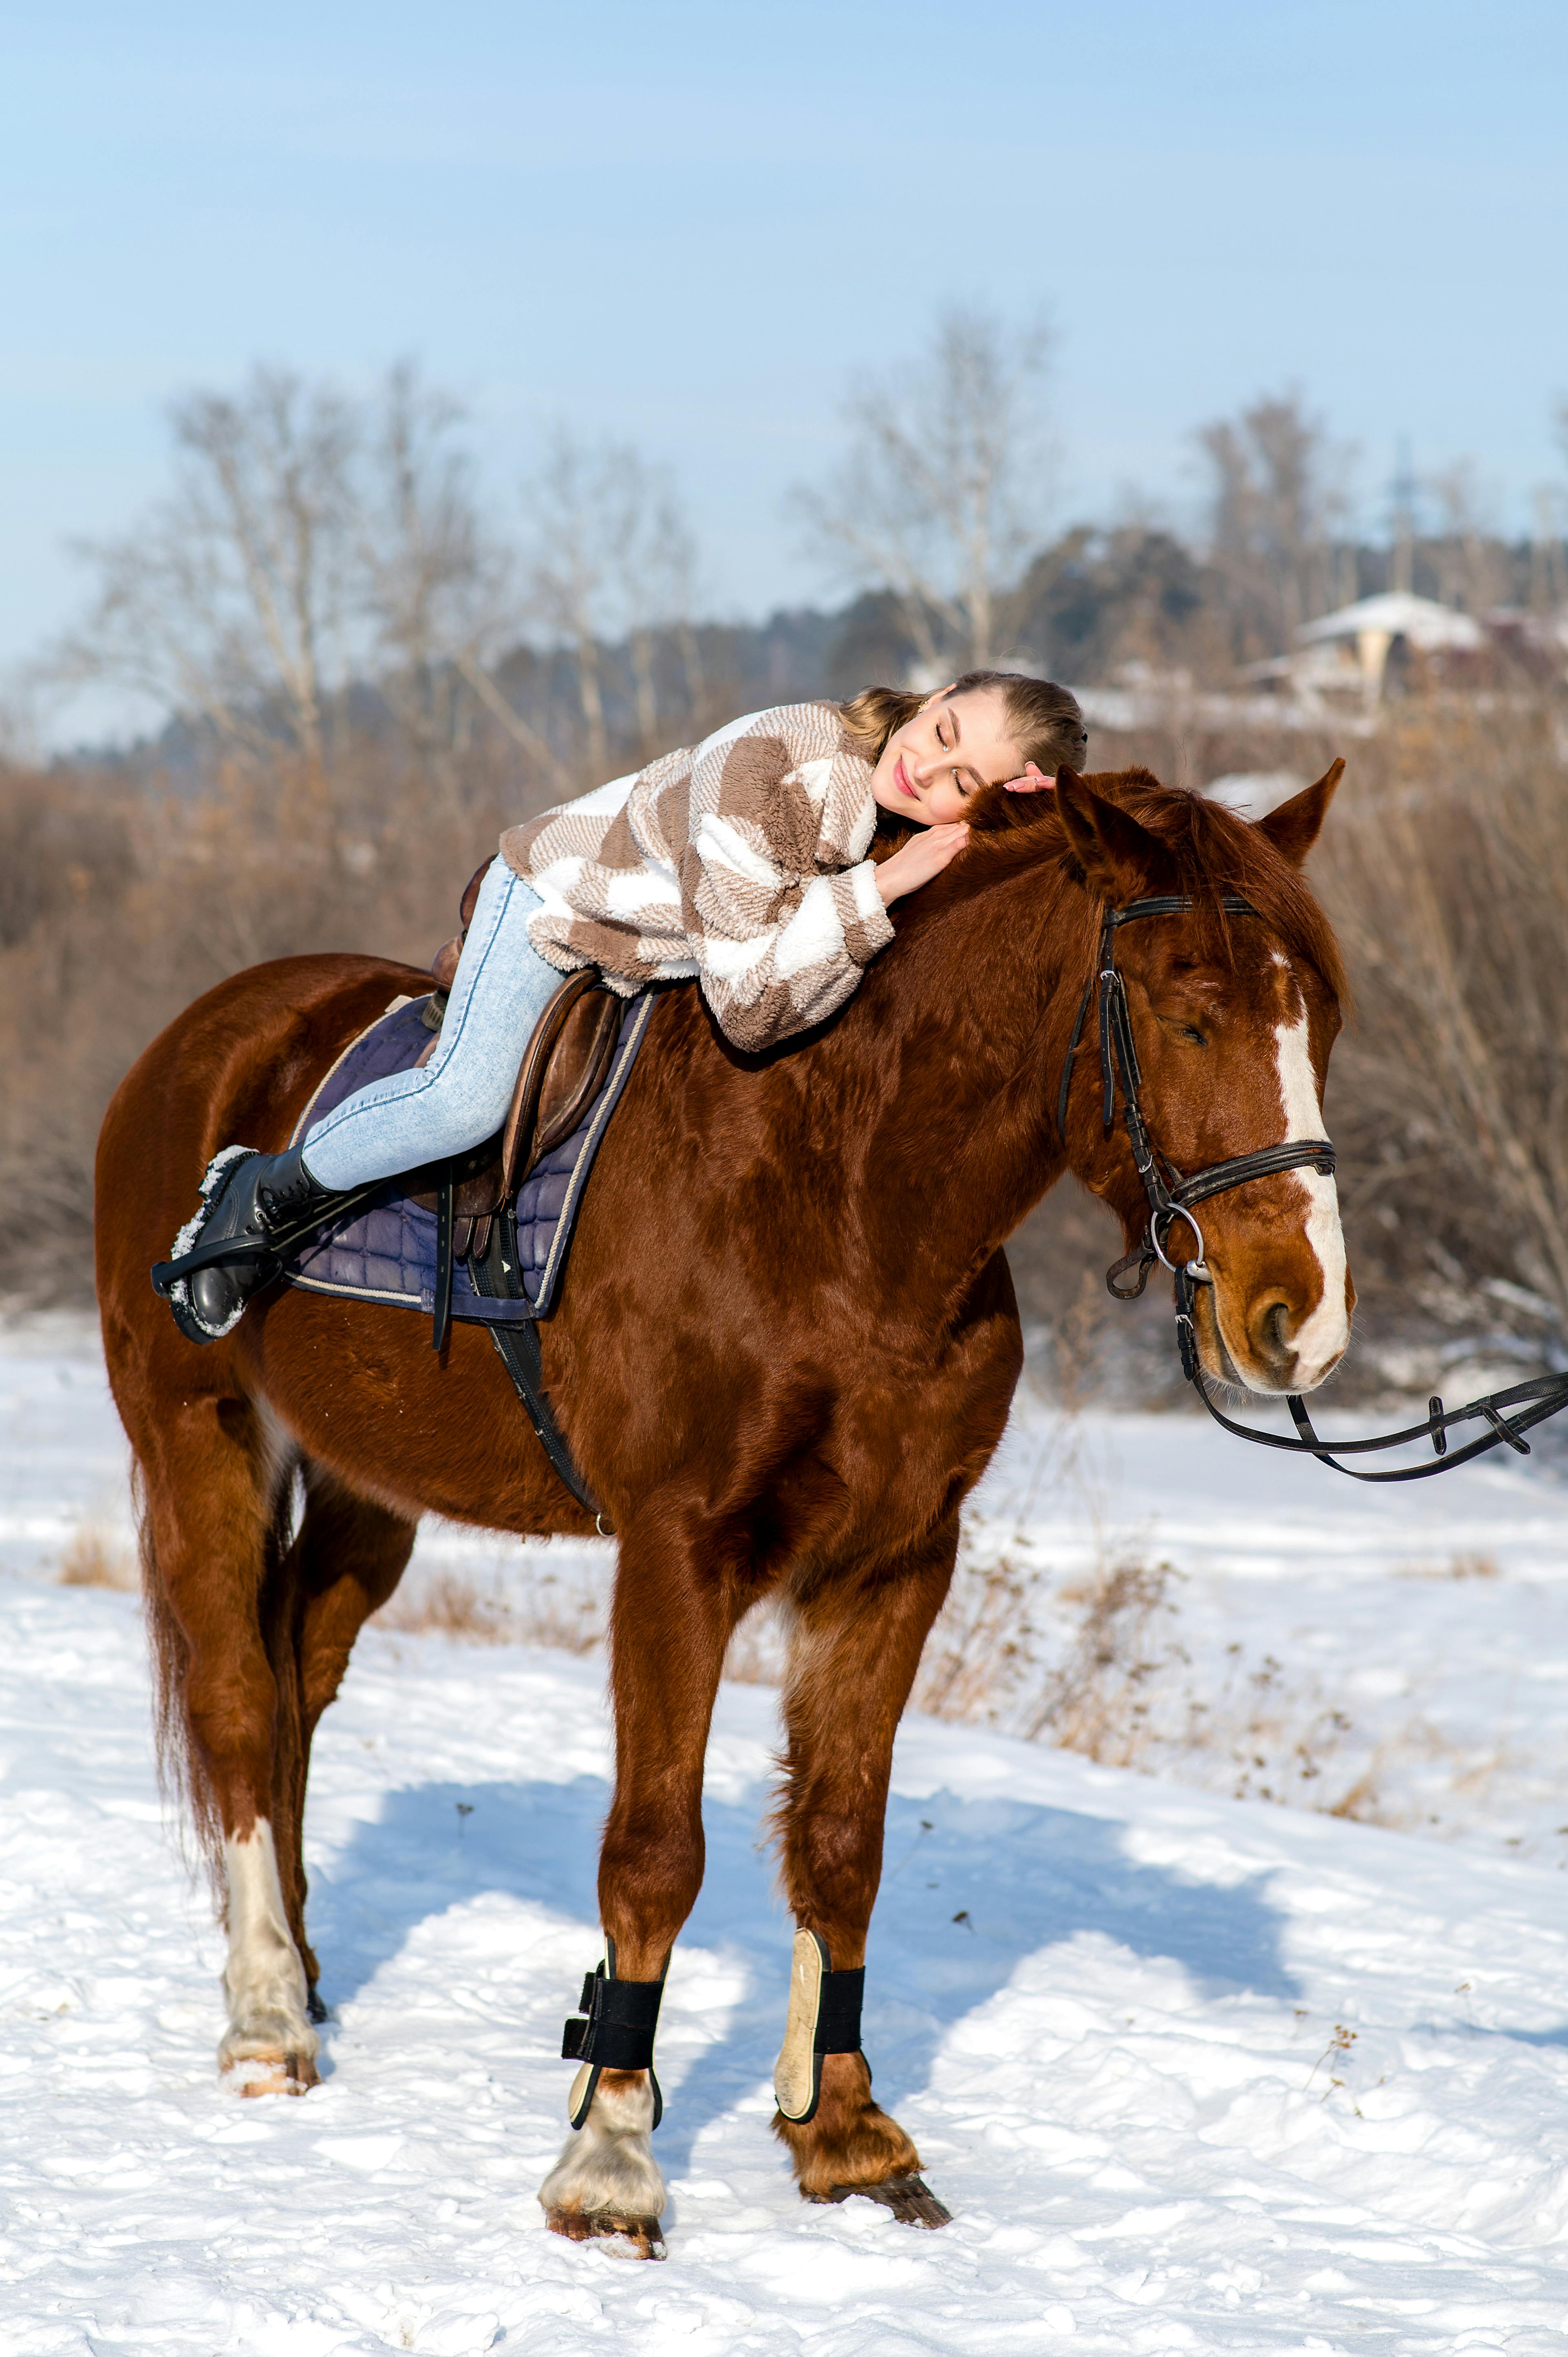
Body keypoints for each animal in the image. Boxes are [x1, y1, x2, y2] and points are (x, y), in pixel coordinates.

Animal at [95, 761, 1352, 2256]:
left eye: (1321, 1017)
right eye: (1182, 1006)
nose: (1298, 1320)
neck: (836, 1196)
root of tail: (207, 1039)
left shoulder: (892, 1562)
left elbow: (840, 1844)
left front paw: (844, 2132)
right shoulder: (676, 1553)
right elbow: (653, 1852)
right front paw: (610, 2156)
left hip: (364, 1485)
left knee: (297, 1680)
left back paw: (306, 1964)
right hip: (200, 1440)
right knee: (237, 1700)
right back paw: (265, 2015)